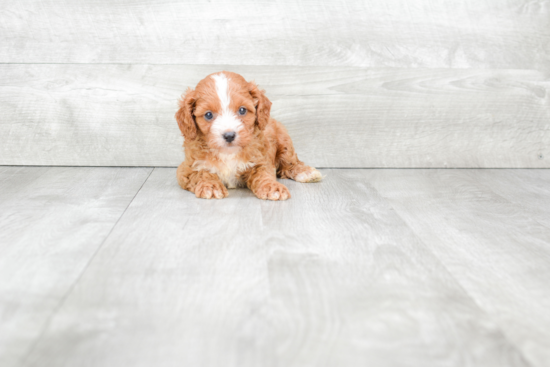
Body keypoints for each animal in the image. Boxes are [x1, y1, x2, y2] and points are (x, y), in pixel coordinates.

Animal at [177, 71, 322, 201]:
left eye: (242, 110)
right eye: (208, 115)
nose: (229, 135)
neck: (228, 153)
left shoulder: (261, 161)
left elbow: (264, 175)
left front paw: (272, 187)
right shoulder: (187, 168)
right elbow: (201, 173)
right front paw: (211, 186)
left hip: (284, 140)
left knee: (290, 163)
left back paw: (306, 172)